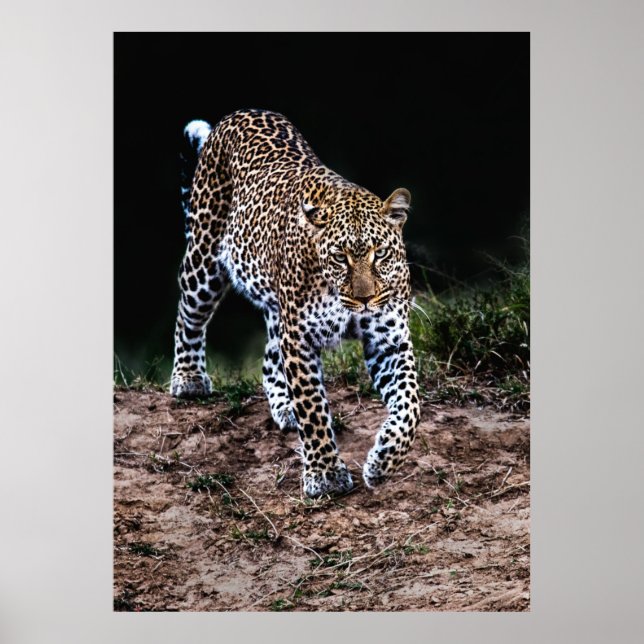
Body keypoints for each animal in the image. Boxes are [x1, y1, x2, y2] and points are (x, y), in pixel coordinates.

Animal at [170, 109, 420, 497]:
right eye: (340, 257)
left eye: (380, 254)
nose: (365, 300)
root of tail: (239, 113)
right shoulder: (301, 339)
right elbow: (314, 409)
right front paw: (326, 475)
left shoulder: (389, 340)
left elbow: (410, 404)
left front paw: (383, 462)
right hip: (204, 261)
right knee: (189, 317)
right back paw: (189, 379)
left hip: (277, 309)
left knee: (270, 357)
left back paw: (283, 405)